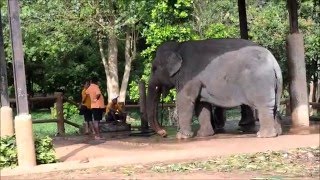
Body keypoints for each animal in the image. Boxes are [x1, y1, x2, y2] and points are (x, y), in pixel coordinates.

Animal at [146, 38, 282, 139]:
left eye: (154, 68)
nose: (164, 133)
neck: (177, 46)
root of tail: (274, 63)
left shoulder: (189, 76)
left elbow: (185, 100)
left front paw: (181, 137)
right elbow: (201, 104)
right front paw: (203, 135)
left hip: (260, 82)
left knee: (264, 106)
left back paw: (263, 135)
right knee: (274, 107)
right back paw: (277, 133)